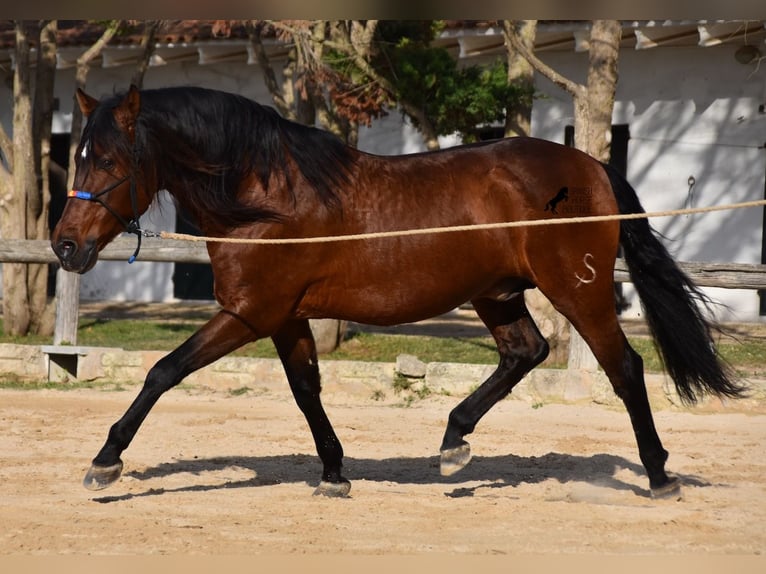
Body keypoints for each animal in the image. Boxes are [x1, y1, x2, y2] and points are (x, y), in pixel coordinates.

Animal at [51, 84, 748, 500]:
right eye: (78, 154)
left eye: (109, 161)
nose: (64, 246)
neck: (267, 198)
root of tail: (592, 166)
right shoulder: (285, 317)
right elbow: (306, 392)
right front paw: (334, 473)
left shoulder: (250, 313)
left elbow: (163, 372)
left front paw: (105, 461)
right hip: (497, 294)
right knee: (524, 353)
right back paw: (453, 445)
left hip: (577, 291)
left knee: (623, 367)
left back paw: (658, 475)